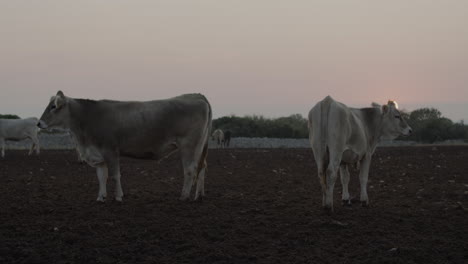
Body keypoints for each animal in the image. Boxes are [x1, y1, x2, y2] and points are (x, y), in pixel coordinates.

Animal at [38, 91, 212, 202]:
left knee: (190, 170)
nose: (39, 123)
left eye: (53, 106)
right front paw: (100, 197)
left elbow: (115, 175)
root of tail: (196, 95)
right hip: (199, 147)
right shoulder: (98, 155)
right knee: (202, 167)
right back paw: (199, 195)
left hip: (189, 146)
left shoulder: (110, 151)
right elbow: (101, 176)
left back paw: (184, 196)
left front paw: (118, 197)